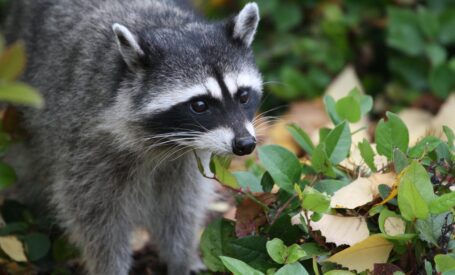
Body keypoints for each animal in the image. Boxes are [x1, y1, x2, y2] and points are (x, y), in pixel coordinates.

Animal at [2, 0, 264, 275]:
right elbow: (96, 219)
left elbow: (180, 207)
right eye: (200, 105)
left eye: (243, 96)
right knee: (31, 169)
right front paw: (109, 267)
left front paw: (182, 258)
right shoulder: (87, 141)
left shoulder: (185, 158)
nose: (245, 144)